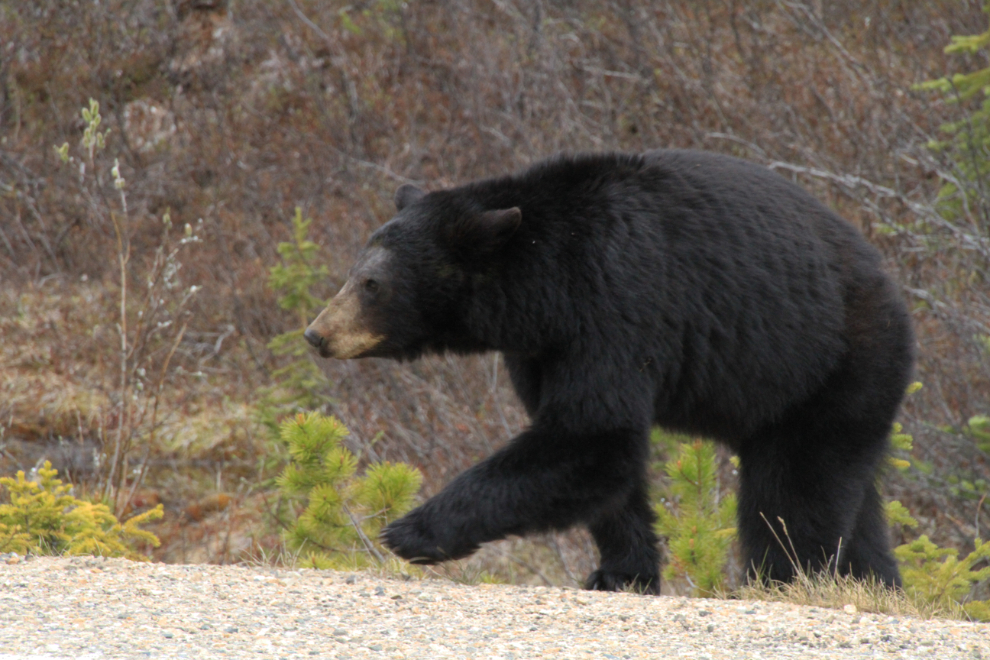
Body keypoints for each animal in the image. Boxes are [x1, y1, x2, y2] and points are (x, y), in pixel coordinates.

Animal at [302, 151, 916, 592]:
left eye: (371, 284)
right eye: (355, 272)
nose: (317, 333)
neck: (544, 286)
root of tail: (891, 286)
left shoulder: (615, 303)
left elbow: (591, 437)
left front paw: (411, 530)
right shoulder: (543, 349)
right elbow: (595, 459)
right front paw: (621, 573)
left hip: (830, 363)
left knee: (795, 489)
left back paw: (782, 579)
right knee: (852, 497)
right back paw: (874, 582)